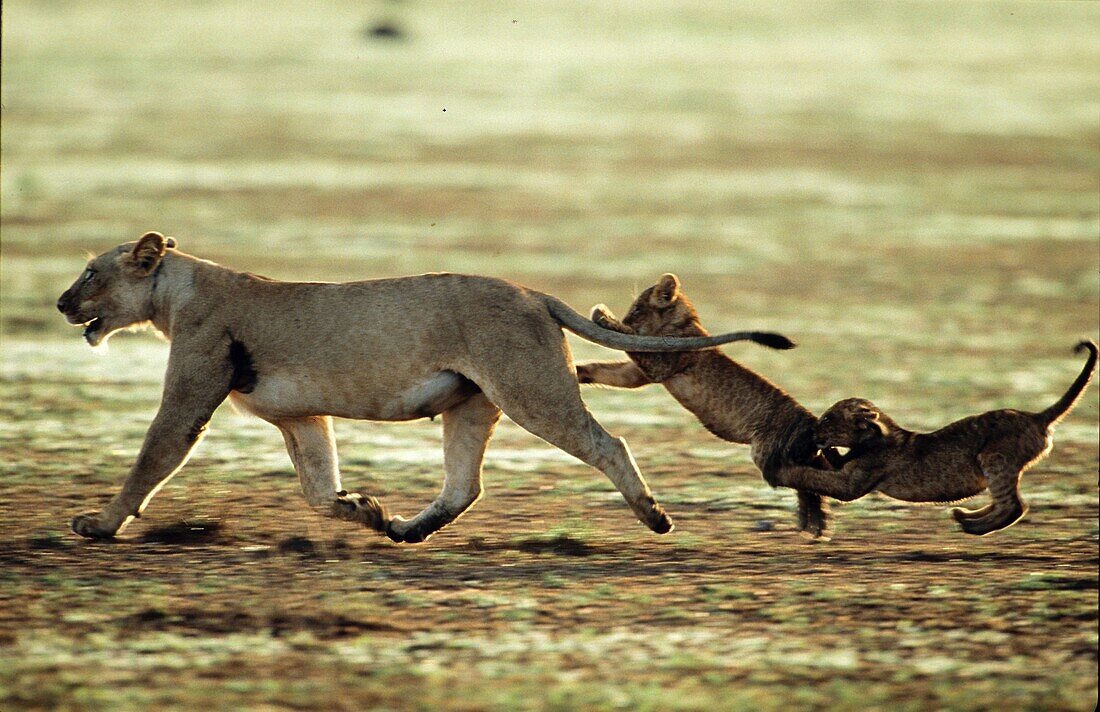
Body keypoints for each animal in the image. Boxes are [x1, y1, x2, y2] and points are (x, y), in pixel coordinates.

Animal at [58, 231, 792, 543]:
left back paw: (655, 516)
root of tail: (535, 293)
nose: (62, 303)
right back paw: (406, 530)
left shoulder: (192, 389)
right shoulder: (301, 418)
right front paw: (364, 510)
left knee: (607, 443)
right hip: (471, 405)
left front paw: (98, 525)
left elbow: (152, 457)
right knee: (464, 486)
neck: (175, 293)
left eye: (91, 273)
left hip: (530, 391)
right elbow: (317, 487)